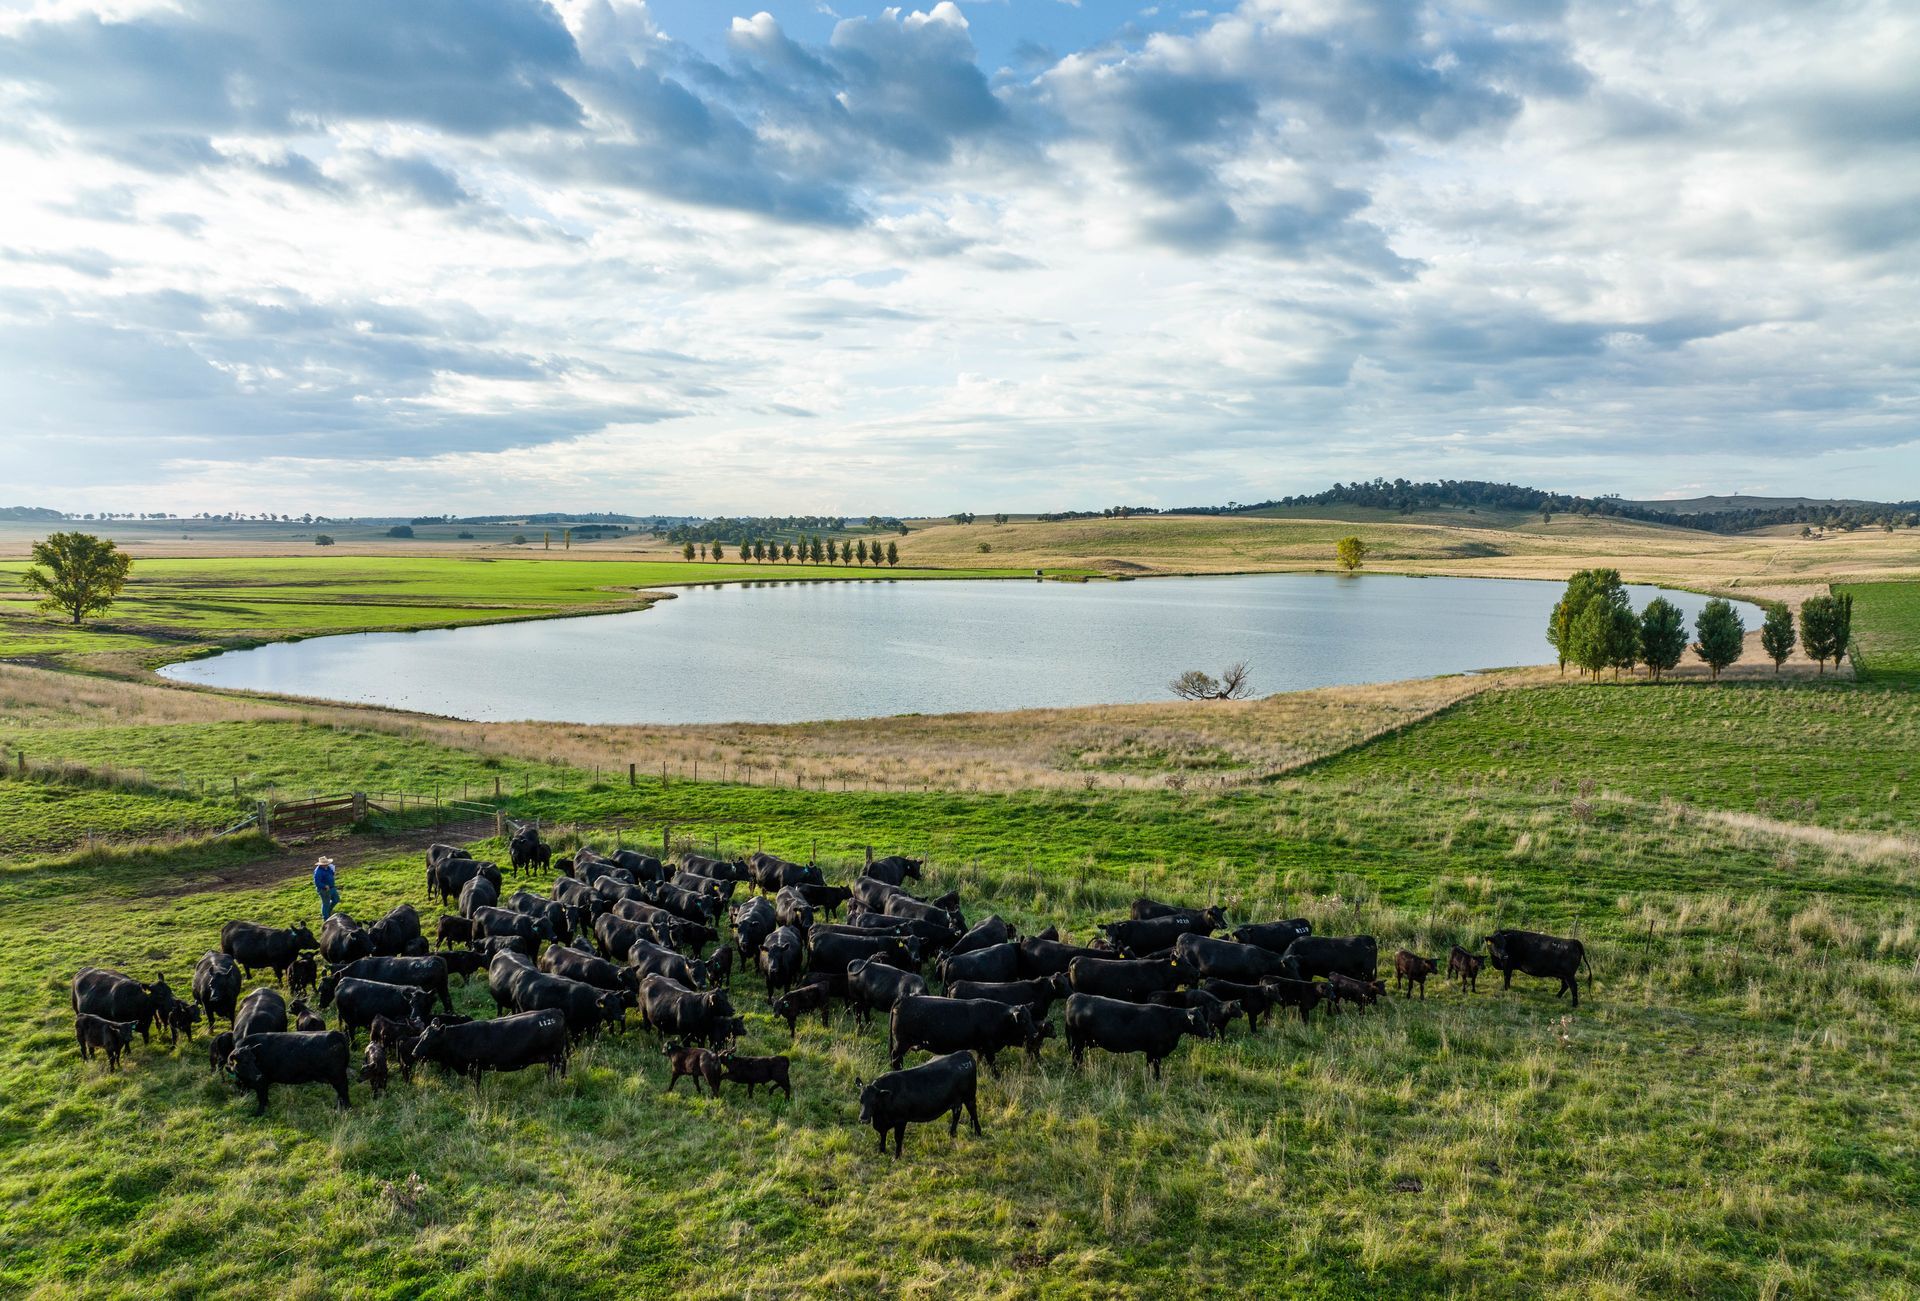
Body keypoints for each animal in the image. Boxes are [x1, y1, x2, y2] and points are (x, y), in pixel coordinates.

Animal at [411, 1011, 570, 1081]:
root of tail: (555, 1011)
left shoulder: (475, 1067)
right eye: (421, 1035)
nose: (414, 1053)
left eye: (430, 1039)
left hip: (556, 1055)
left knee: (562, 1065)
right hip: (551, 1057)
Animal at [888, 995, 1050, 1074]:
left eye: (1030, 1017)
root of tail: (904, 999)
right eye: (1023, 1020)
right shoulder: (988, 1046)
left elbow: (980, 1059)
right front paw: (997, 1076)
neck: (997, 1017)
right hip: (901, 1043)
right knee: (896, 1059)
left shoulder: (981, 1047)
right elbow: (992, 1063)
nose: (1035, 1034)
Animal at [1064, 993, 1212, 1079]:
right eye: (1199, 1021)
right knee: (1076, 1057)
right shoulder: (1155, 1051)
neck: (1169, 1020)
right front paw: (1157, 1079)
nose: (1208, 1033)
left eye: (1204, 1018)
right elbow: (1156, 1067)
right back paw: (1077, 1072)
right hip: (1077, 1041)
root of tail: (1075, 996)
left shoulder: (1151, 1052)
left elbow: (1149, 1065)